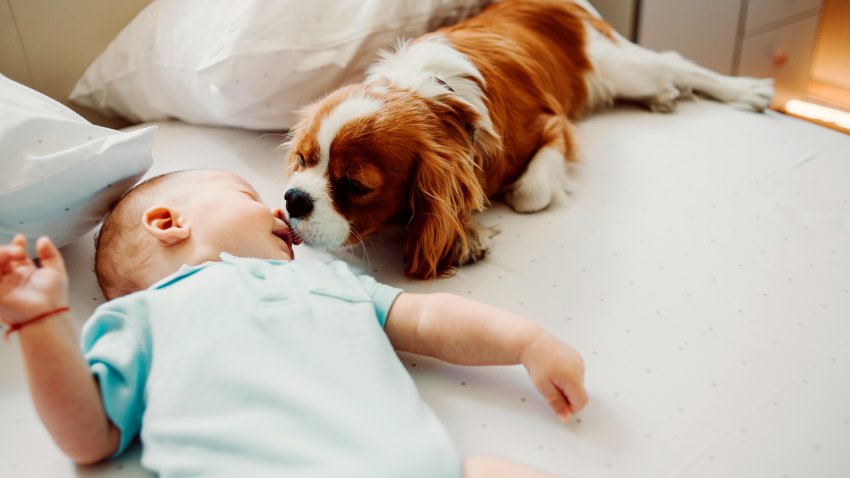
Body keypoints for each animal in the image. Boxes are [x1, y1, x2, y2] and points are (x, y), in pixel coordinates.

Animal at [282, 0, 772, 280]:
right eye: (302, 161)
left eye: (356, 185)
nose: (293, 199)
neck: (438, 98)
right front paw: (468, 231)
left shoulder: (553, 126)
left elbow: (529, 194)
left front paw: (473, 226)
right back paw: (666, 97)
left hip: (615, 67)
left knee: (673, 62)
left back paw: (744, 91)